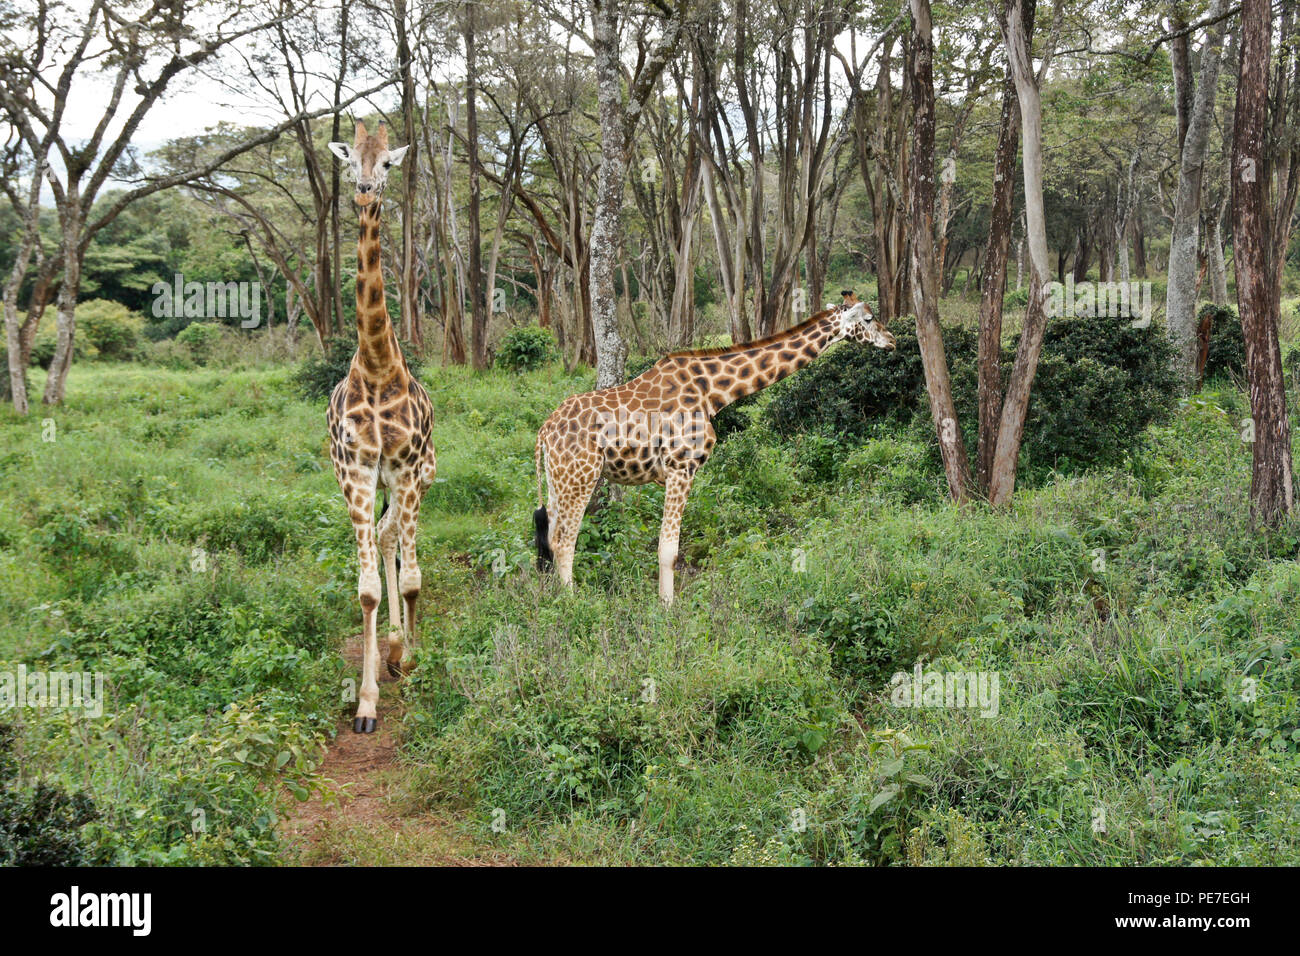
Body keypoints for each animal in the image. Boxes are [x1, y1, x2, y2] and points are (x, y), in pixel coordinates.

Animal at [533, 291, 899, 606]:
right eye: (869, 318)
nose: (892, 340)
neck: (712, 391)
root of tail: (543, 432)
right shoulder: (681, 467)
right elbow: (669, 550)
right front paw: (668, 609)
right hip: (580, 477)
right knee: (564, 541)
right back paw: (574, 605)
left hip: (559, 480)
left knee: (549, 537)